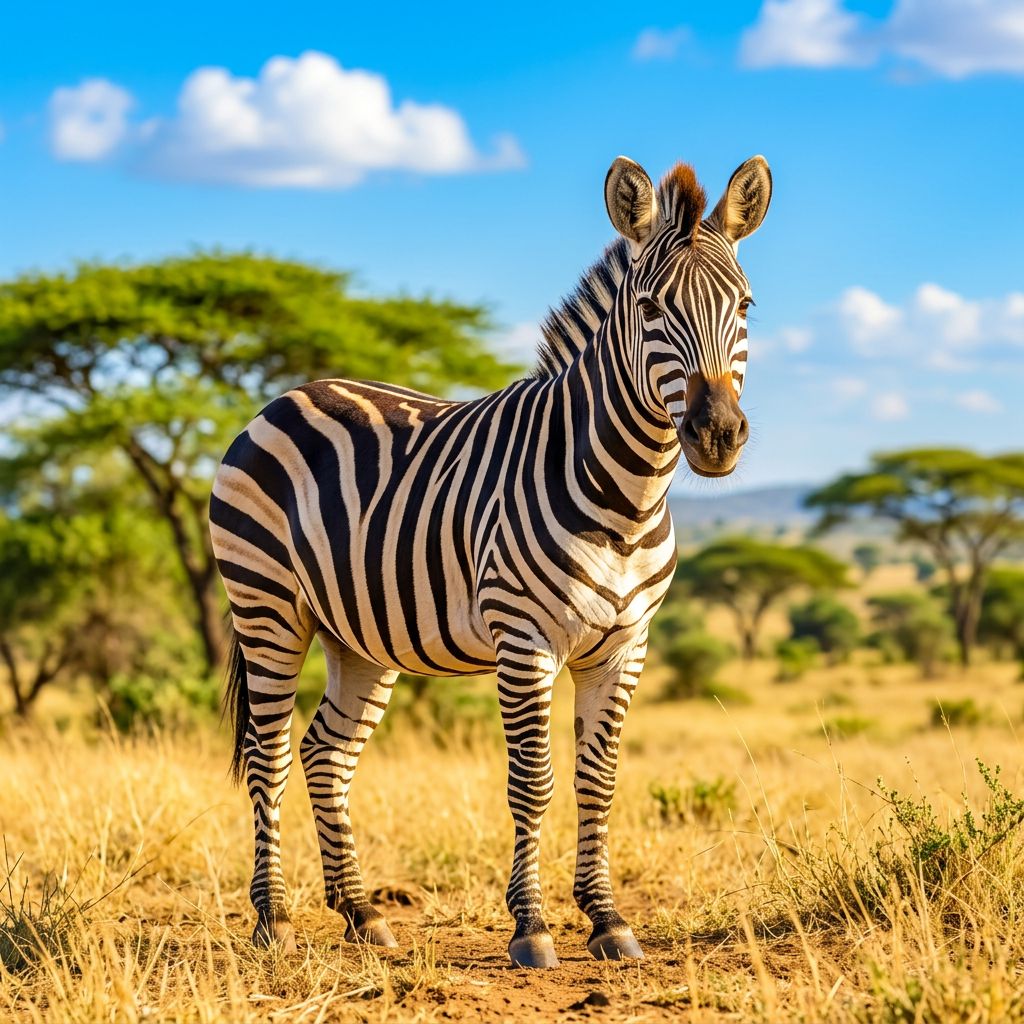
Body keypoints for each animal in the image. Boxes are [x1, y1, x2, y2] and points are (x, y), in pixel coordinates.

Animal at [210, 153, 772, 968]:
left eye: (747, 306)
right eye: (649, 308)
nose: (718, 435)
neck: (628, 499)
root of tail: (286, 397)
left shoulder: (625, 645)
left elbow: (599, 781)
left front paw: (607, 920)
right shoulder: (524, 638)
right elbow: (533, 781)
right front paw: (532, 927)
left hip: (358, 635)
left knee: (326, 752)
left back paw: (362, 914)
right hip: (267, 607)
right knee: (270, 752)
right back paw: (274, 920)